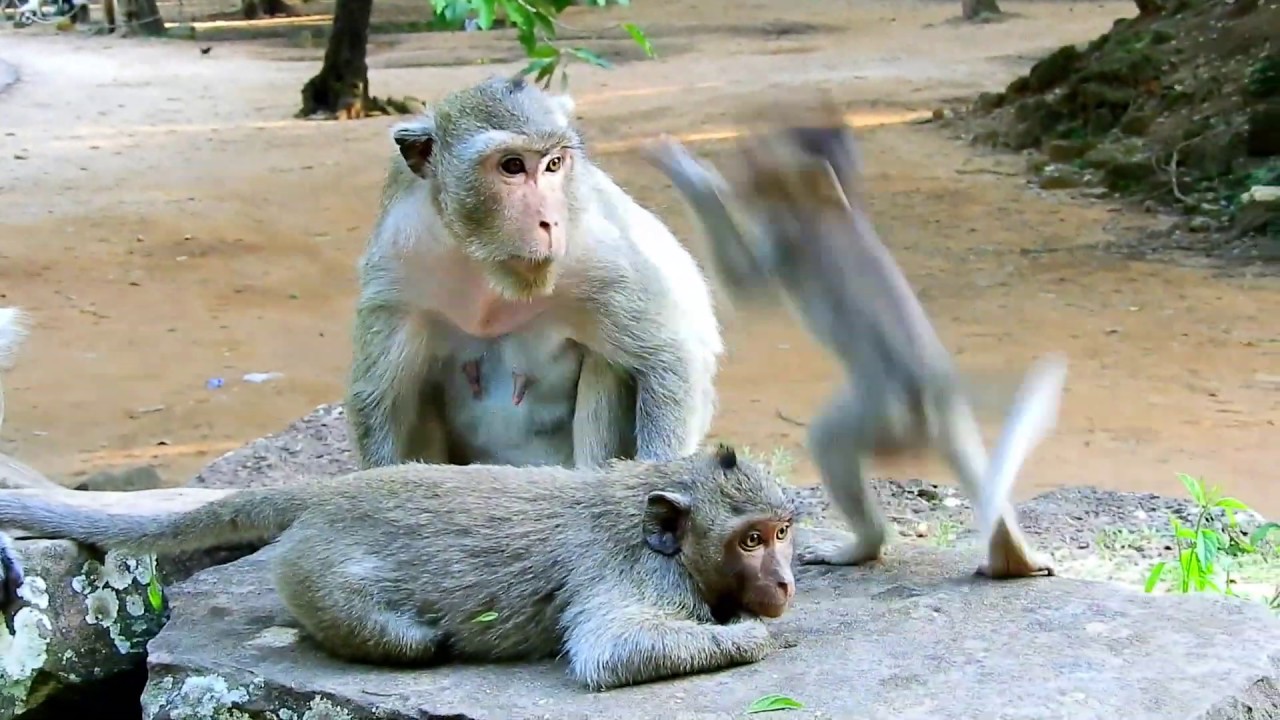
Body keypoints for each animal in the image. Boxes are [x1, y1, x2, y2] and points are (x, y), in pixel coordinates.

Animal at [0, 445, 797, 691]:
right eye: (751, 541)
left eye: (784, 533)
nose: (786, 580)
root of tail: (331, 490)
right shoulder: (633, 573)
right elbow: (612, 650)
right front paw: (752, 638)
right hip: (316, 576)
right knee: (409, 641)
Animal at [347, 75, 723, 473]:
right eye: (512, 166)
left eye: (554, 164)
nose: (551, 222)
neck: (490, 270)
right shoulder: (400, 262)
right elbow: (383, 400)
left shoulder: (596, 252)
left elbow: (669, 357)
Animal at [642, 118, 1066, 579]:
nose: (744, 166)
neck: (830, 202)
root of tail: (937, 389)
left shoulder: (790, 240)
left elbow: (747, 285)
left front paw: (696, 178)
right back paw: (1014, 560)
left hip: (889, 420)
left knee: (830, 439)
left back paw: (865, 545)